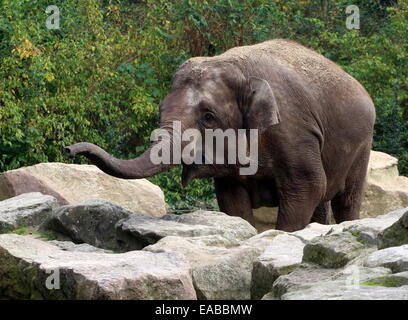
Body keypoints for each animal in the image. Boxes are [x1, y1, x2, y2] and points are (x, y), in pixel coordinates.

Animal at [65, 38, 374, 231]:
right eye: (160, 109)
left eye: (208, 117)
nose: (70, 149)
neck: (235, 67)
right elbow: (231, 198)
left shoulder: (293, 130)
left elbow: (308, 186)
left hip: (363, 144)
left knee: (345, 199)